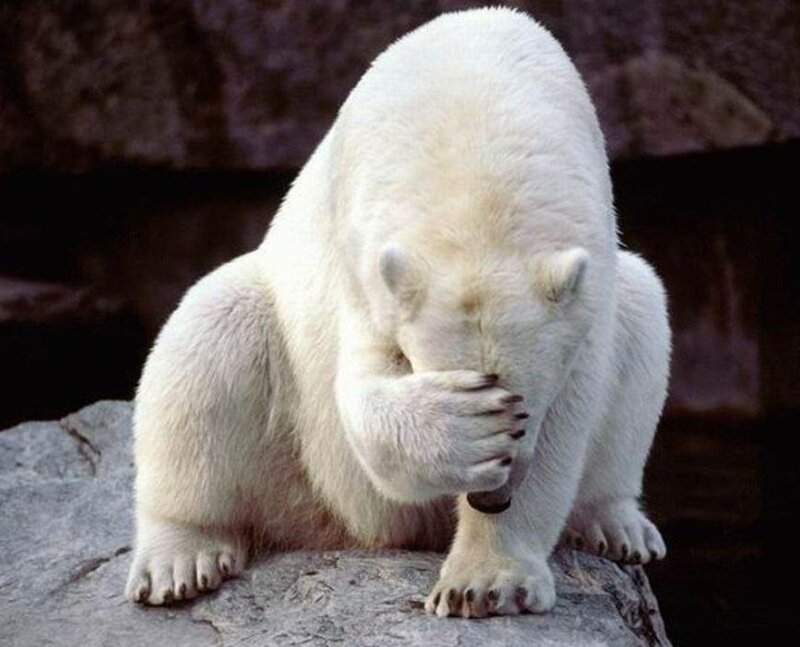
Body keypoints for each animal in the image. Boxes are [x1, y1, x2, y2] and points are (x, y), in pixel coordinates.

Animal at [125, 7, 669, 618]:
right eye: (493, 398)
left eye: (524, 406)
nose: (491, 499)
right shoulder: (363, 258)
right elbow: (361, 393)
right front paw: (462, 432)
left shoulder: (588, 281)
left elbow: (571, 414)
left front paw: (484, 583)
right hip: (291, 450)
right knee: (209, 334)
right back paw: (179, 559)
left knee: (643, 310)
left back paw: (617, 525)